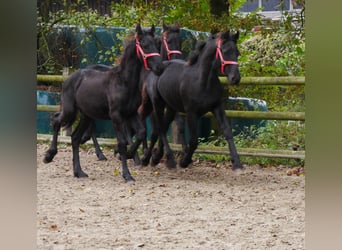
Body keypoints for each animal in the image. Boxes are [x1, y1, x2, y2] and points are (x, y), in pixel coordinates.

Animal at [43, 24, 164, 182]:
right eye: (144, 44)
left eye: (156, 44)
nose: (160, 67)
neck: (123, 82)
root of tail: (69, 78)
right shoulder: (116, 116)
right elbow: (122, 142)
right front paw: (127, 174)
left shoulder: (131, 113)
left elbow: (141, 133)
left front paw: (130, 155)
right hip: (70, 110)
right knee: (56, 120)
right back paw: (49, 156)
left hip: (86, 116)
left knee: (75, 138)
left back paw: (79, 172)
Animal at [142, 29, 243, 170]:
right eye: (225, 51)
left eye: (237, 53)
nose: (235, 78)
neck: (203, 82)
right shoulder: (191, 113)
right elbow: (194, 140)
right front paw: (184, 161)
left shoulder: (217, 107)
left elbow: (228, 132)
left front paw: (237, 163)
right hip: (158, 104)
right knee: (158, 128)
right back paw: (149, 158)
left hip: (171, 108)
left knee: (163, 126)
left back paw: (156, 157)